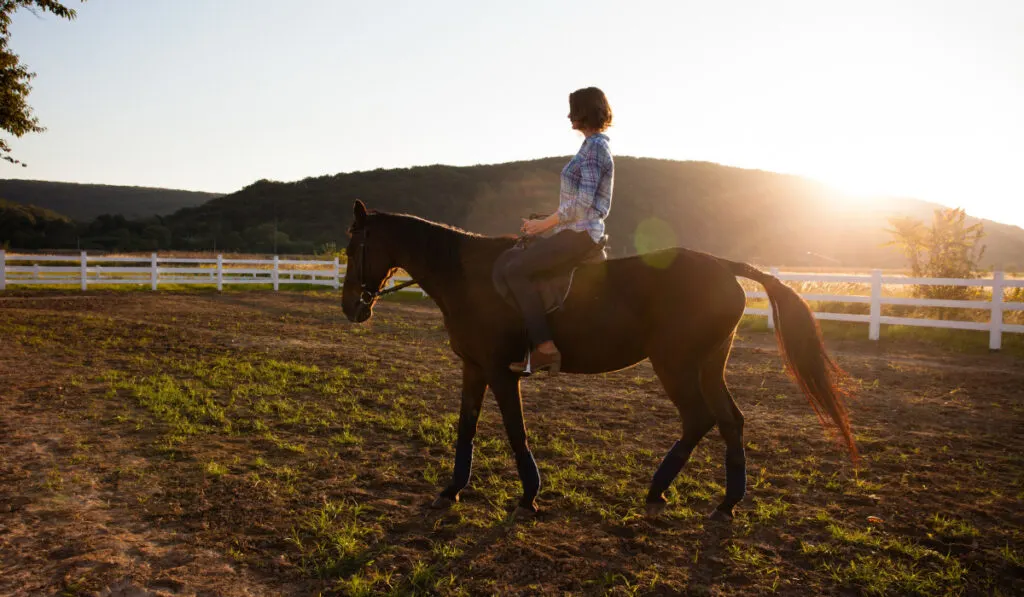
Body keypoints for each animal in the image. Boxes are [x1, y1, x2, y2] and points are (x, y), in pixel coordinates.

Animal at [344, 199, 856, 518]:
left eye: (353, 247)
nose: (352, 307)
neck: (471, 279)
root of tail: (725, 267)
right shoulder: (474, 367)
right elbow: (465, 426)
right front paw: (451, 490)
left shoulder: (500, 372)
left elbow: (515, 431)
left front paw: (528, 497)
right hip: (710, 364)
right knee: (730, 420)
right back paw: (725, 503)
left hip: (675, 363)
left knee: (699, 418)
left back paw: (658, 492)